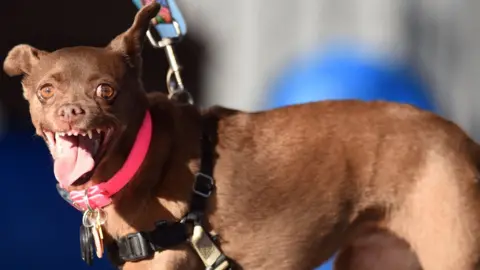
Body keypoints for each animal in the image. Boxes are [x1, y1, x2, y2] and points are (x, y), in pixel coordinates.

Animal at [2, 2, 480, 270]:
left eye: (105, 90)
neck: (142, 157)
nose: (70, 111)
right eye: (46, 91)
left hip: (452, 252)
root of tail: (463, 141)